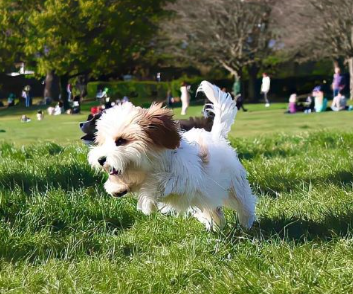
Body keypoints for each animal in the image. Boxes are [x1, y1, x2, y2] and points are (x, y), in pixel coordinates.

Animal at [86, 81, 254, 231]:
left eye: (120, 140)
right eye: (102, 142)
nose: (100, 159)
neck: (151, 167)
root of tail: (215, 136)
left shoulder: (182, 179)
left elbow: (159, 184)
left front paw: (147, 202)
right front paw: (117, 187)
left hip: (235, 185)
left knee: (244, 202)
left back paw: (246, 223)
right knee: (212, 209)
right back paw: (216, 225)